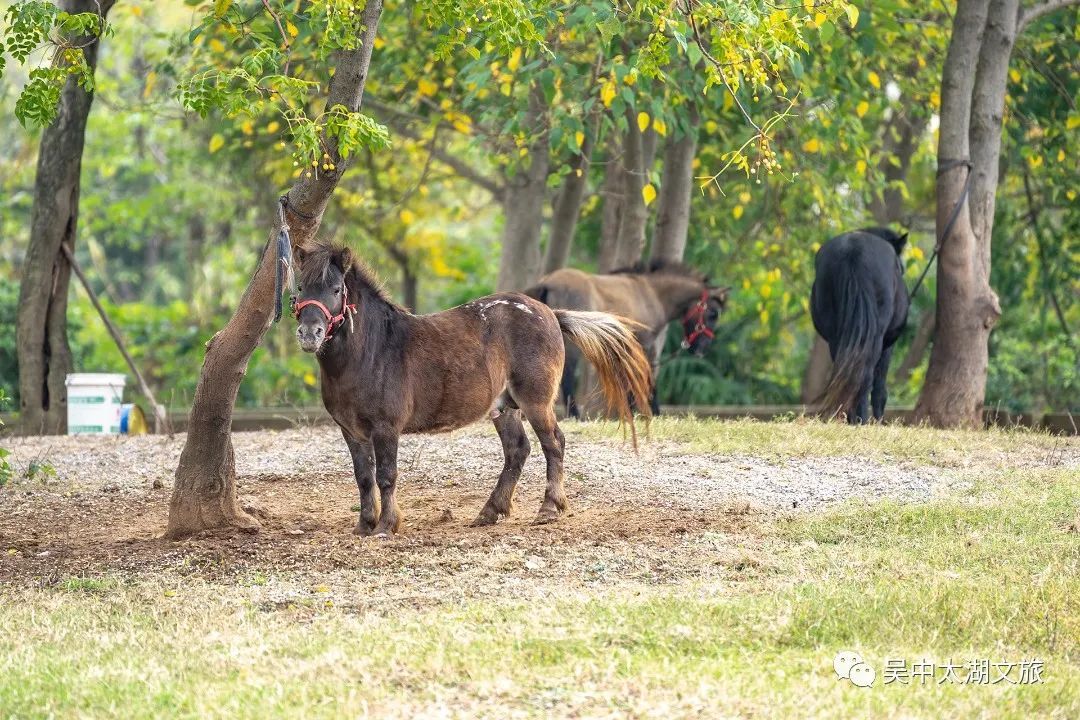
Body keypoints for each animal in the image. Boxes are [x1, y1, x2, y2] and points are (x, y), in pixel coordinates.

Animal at [291, 243, 652, 535]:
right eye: (300, 287)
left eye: (336, 289)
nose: (309, 333)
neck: (374, 349)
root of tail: (550, 312)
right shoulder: (351, 431)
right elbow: (364, 478)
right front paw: (364, 525)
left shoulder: (386, 428)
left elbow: (386, 476)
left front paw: (385, 526)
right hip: (504, 408)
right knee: (518, 450)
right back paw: (490, 512)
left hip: (535, 402)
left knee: (554, 443)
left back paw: (549, 508)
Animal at [524, 260, 730, 416]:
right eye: (713, 313)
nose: (701, 350)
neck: (651, 293)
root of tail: (547, 282)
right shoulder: (645, 343)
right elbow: (646, 374)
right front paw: (653, 413)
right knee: (566, 374)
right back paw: (574, 414)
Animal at [812, 226, 911, 423]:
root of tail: (853, 252)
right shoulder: (887, 347)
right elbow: (879, 388)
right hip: (876, 338)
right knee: (865, 376)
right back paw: (862, 420)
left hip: (837, 337)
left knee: (847, 374)